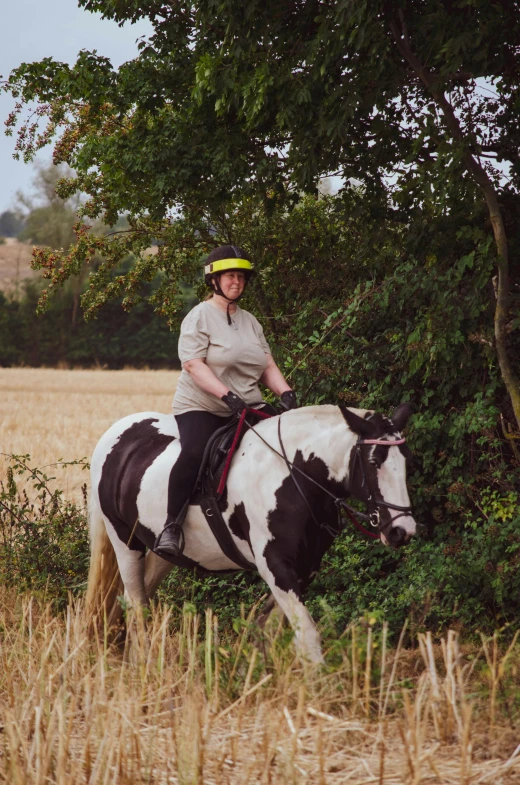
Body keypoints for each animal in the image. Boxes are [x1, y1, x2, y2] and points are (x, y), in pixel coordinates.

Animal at [86, 402, 418, 660]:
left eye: (406, 460)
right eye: (374, 461)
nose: (402, 531)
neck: (293, 475)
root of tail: (113, 436)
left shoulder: (305, 568)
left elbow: (272, 632)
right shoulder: (274, 564)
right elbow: (307, 634)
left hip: (162, 553)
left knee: (131, 601)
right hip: (124, 541)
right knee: (137, 606)